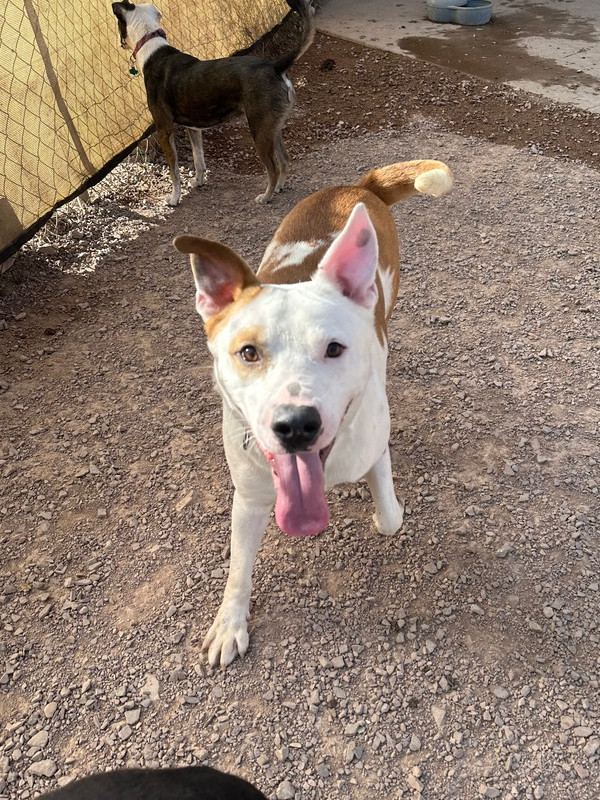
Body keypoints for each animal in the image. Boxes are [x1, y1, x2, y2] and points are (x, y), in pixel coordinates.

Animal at [111, 1, 314, 206]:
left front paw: (174, 198)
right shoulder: (192, 128)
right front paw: (199, 182)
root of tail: (275, 66)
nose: (119, 43)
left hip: (259, 130)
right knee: (285, 159)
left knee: (273, 168)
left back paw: (265, 197)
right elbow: (198, 159)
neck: (152, 48)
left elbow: (174, 172)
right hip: (272, 127)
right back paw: (279, 187)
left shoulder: (164, 129)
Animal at [176, 155, 452, 664]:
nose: (296, 425)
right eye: (248, 352)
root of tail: (357, 187)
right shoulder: (249, 497)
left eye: (334, 348)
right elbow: (238, 570)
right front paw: (229, 624)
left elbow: (390, 519)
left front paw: (384, 513)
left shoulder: (374, 452)